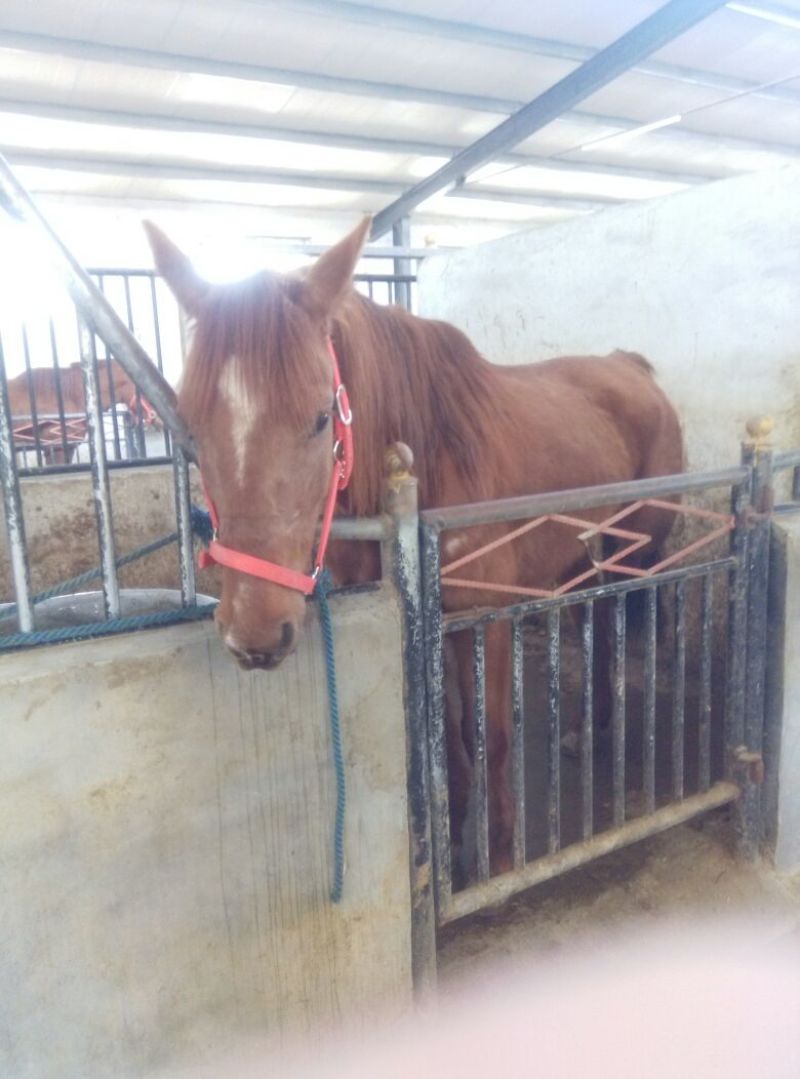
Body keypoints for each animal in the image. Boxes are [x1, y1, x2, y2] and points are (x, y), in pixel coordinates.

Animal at [144, 217, 683, 876]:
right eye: (191, 428)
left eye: (322, 417)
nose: (255, 632)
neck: (433, 457)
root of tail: (629, 366)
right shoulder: (427, 626)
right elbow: (448, 736)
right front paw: (454, 837)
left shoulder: (484, 618)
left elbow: (492, 734)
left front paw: (499, 857)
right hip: (587, 550)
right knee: (598, 616)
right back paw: (589, 728)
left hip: (641, 549)